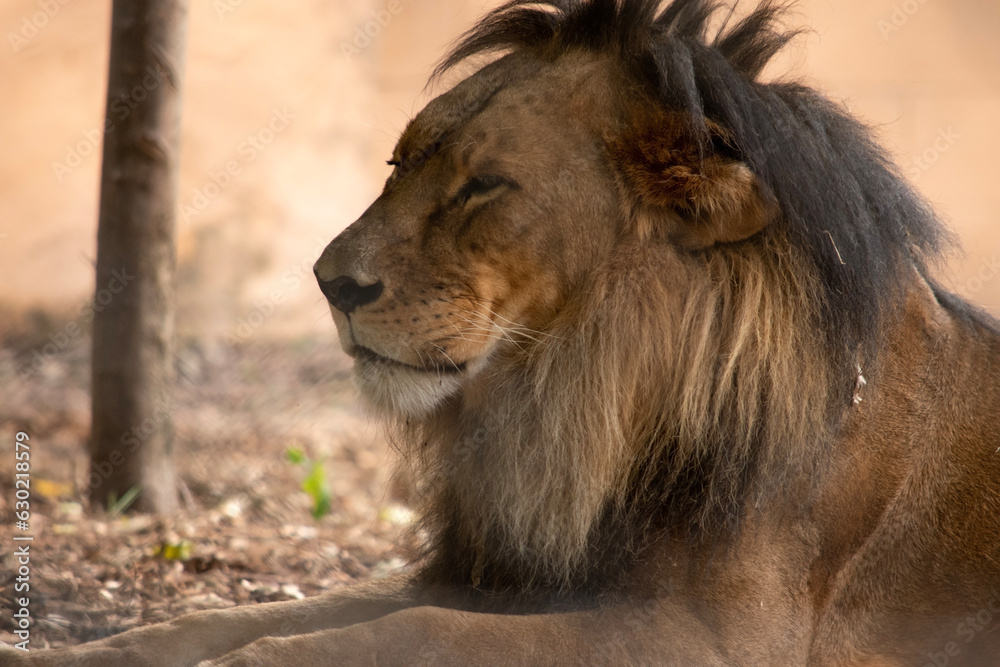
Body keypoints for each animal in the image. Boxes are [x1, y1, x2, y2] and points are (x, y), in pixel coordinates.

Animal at [9, 0, 1000, 665]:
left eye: (484, 185)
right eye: (399, 162)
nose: (330, 282)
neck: (569, 394)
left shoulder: (712, 637)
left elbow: (401, 634)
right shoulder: (489, 568)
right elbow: (224, 616)